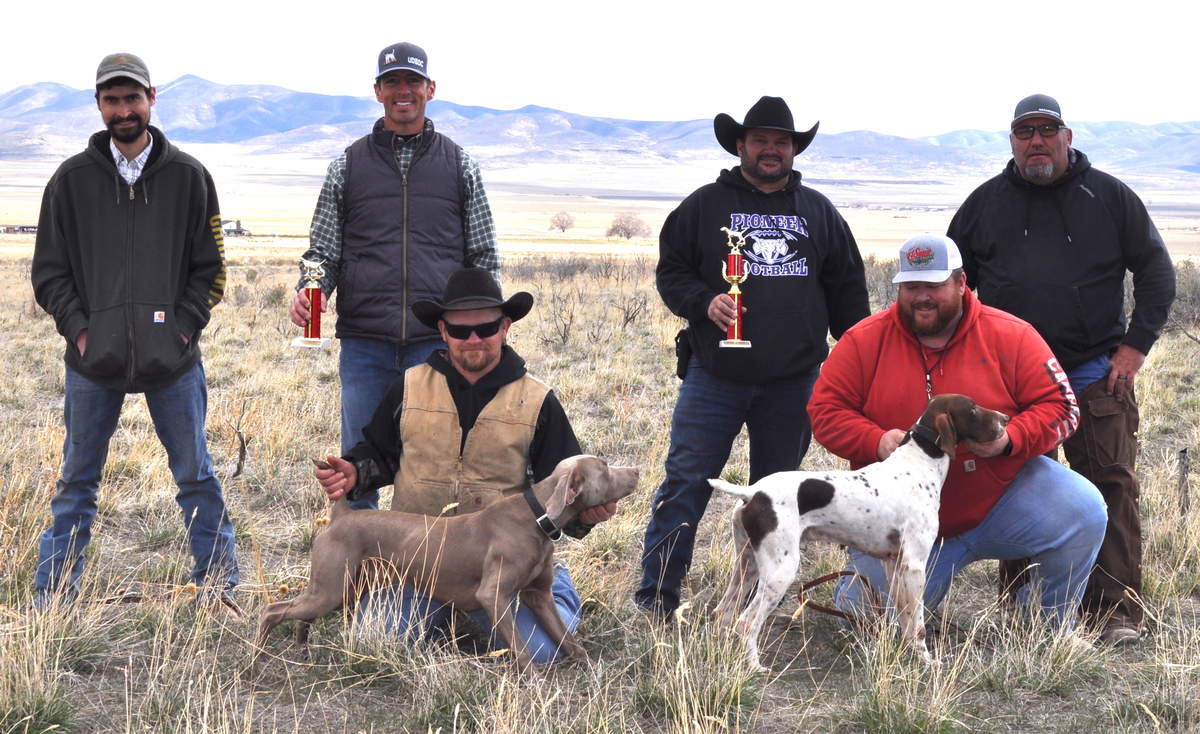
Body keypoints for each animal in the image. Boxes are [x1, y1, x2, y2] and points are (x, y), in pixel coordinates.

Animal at [705, 393, 1008, 666]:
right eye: (972, 409)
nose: (1005, 419)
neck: (919, 464)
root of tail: (753, 492)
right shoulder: (915, 565)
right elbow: (919, 625)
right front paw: (927, 661)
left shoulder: (894, 564)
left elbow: (904, 618)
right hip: (780, 572)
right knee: (745, 622)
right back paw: (755, 667)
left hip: (747, 565)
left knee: (723, 612)